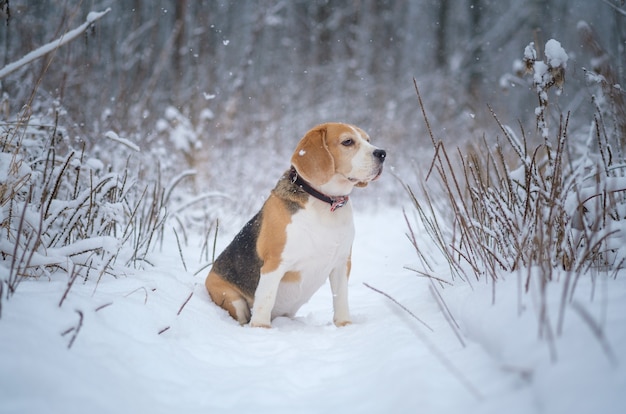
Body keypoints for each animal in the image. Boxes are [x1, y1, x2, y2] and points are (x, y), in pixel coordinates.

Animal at [205, 121, 382, 328]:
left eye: (368, 139)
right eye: (347, 142)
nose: (382, 153)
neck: (326, 202)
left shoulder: (341, 263)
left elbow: (341, 299)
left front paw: (345, 325)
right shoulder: (274, 264)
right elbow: (265, 301)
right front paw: (261, 329)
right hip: (231, 298)